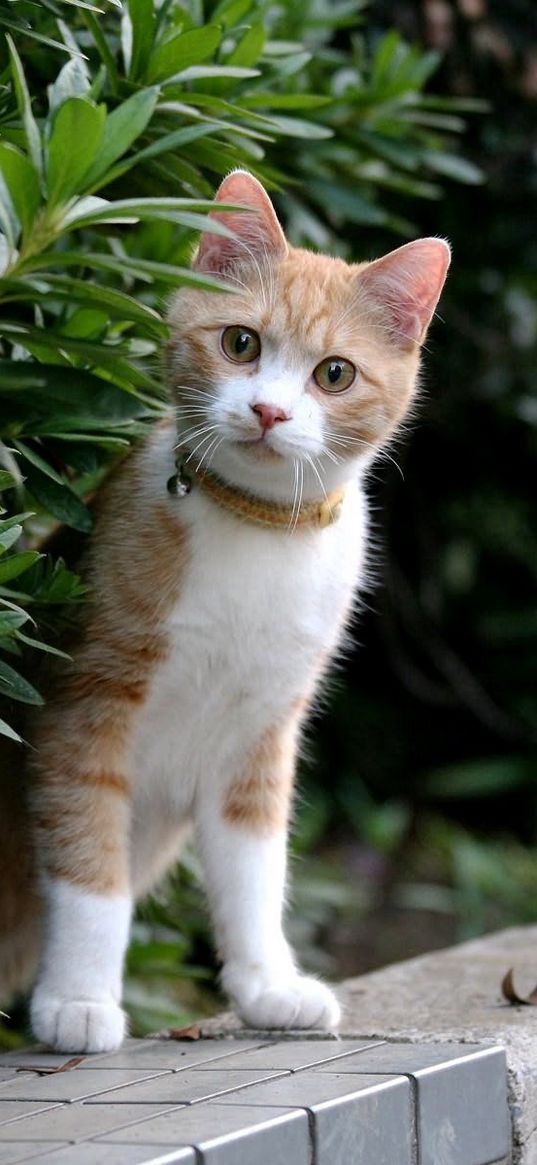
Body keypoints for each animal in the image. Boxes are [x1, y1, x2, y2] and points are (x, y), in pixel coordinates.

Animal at [0, 172, 447, 1057]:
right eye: (240, 344)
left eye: (334, 373)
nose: (269, 411)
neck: (261, 528)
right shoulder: (81, 706)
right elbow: (89, 858)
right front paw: (78, 998)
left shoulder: (261, 730)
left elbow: (253, 870)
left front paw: (266, 986)